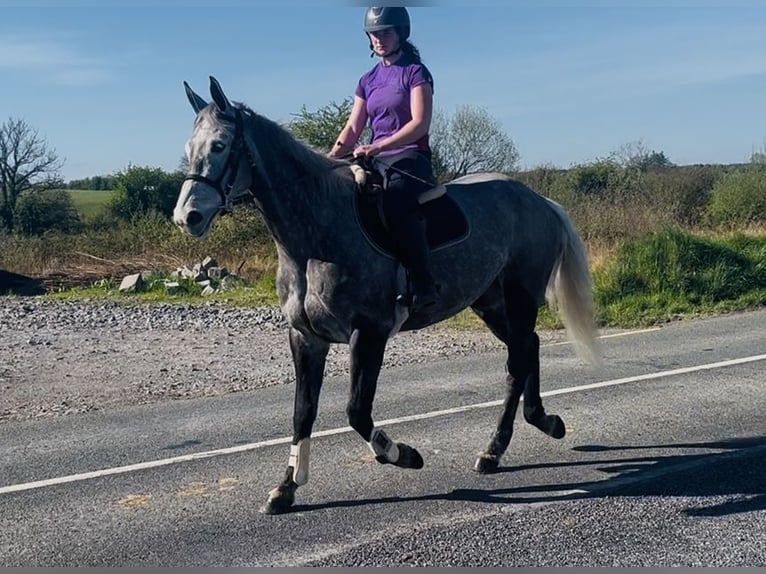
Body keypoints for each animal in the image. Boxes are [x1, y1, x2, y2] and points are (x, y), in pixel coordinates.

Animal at [173, 76, 599, 515]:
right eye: (190, 149)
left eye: (220, 145)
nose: (187, 217)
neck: (317, 234)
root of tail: (539, 200)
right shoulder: (306, 338)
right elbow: (302, 412)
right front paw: (286, 488)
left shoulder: (369, 333)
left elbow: (356, 412)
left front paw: (403, 455)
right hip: (490, 302)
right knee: (528, 347)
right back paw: (538, 425)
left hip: (520, 296)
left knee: (517, 360)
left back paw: (496, 448)